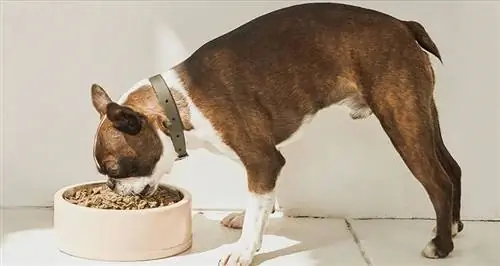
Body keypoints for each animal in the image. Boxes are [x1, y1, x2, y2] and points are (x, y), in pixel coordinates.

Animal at [92, 2, 462, 266]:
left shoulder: (263, 159)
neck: (176, 104)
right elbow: (260, 201)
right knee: (453, 168)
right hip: (424, 114)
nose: (111, 187)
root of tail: (402, 25)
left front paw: (243, 250)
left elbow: (257, 203)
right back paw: (452, 227)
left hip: (401, 120)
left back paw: (441, 247)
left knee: (438, 182)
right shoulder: (264, 161)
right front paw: (246, 219)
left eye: (114, 169)